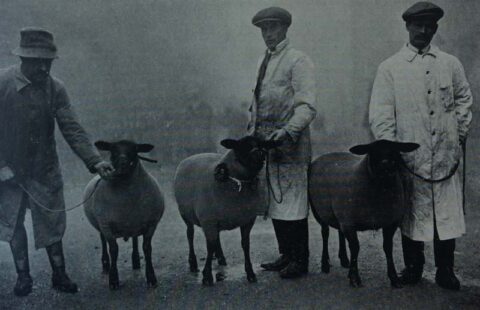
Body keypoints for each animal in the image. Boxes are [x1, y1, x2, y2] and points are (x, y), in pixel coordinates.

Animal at [83, 139, 164, 290]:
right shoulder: (106, 225)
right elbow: (113, 250)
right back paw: (106, 264)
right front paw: (113, 279)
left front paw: (151, 278)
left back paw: (136, 261)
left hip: (134, 223)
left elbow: (147, 248)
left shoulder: (151, 224)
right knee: (103, 242)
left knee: (134, 239)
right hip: (101, 225)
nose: (122, 164)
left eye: (134, 150)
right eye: (113, 150)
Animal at [173, 136, 280, 286]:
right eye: (242, 145)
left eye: (262, 145)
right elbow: (209, 247)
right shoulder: (208, 221)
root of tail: (191, 157)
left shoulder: (247, 220)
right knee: (190, 234)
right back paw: (193, 263)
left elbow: (245, 245)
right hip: (186, 214)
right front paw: (207, 276)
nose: (259, 153)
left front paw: (250, 273)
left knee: (216, 238)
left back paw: (221, 257)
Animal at [308, 139, 420, 286]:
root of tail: (323, 156)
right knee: (325, 234)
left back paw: (344, 259)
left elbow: (388, 248)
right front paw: (354, 277)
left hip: (340, 214)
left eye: (394, 150)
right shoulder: (349, 224)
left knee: (339, 232)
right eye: (373, 151)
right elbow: (355, 248)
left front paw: (394, 278)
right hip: (318, 211)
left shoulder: (391, 222)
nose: (386, 164)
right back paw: (325, 264)